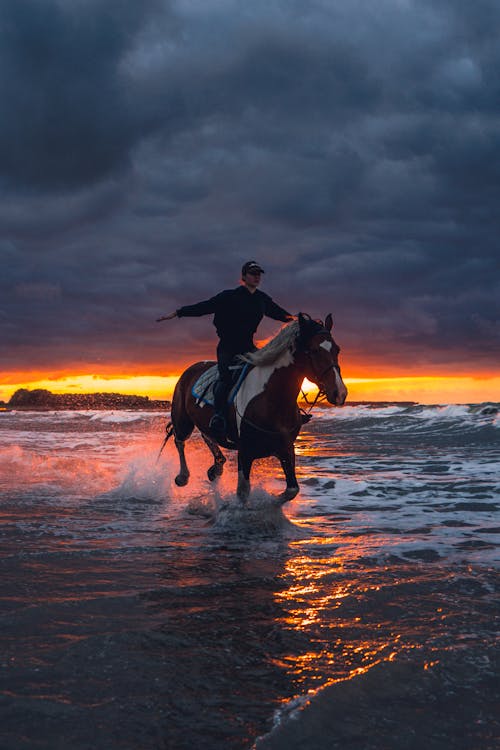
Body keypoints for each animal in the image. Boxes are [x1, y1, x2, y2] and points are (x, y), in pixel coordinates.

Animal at [162, 312, 346, 506]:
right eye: (314, 350)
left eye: (337, 350)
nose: (340, 393)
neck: (271, 400)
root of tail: (192, 368)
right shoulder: (245, 453)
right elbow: (243, 492)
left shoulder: (286, 449)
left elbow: (292, 490)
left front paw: (272, 503)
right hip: (183, 419)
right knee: (179, 440)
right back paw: (183, 477)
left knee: (207, 435)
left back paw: (217, 467)